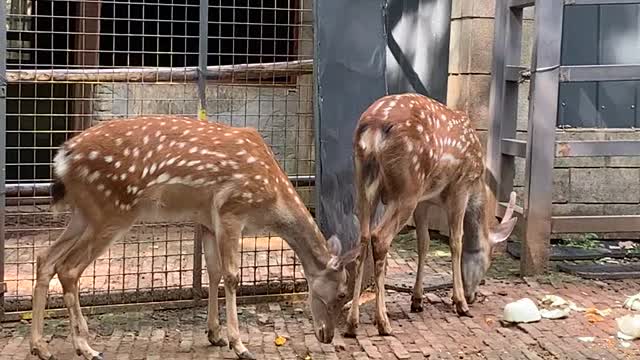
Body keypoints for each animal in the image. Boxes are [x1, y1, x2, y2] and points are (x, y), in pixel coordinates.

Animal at [31, 115, 360, 360]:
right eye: (342, 293)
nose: (328, 336)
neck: (271, 200)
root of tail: (62, 158)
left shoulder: (207, 220)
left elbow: (212, 271)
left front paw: (214, 334)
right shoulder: (231, 209)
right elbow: (232, 276)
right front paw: (239, 345)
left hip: (85, 213)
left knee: (45, 258)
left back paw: (41, 347)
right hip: (113, 211)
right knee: (68, 268)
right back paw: (86, 347)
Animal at [342, 93, 516, 338]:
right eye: (488, 260)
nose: (472, 296)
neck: (477, 184)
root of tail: (374, 127)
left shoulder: (424, 202)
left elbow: (423, 243)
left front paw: (417, 300)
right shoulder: (459, 188)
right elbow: (456, 241)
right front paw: (460, 303)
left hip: (363, 183)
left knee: (363, 238)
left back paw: (352, 323)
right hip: (407, 188)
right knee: (380, 237)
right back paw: (383, 322)